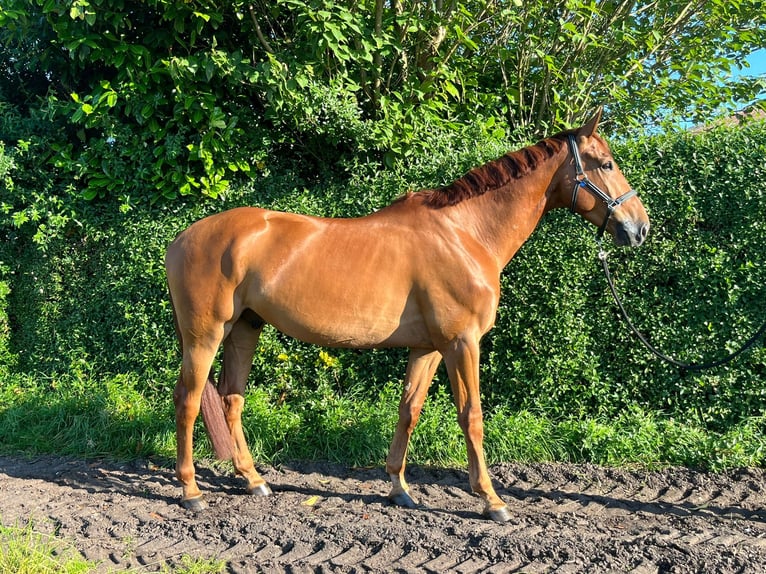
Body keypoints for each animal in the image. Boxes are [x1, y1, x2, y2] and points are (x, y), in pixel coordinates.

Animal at [165, 110, 652, 524]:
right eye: (606, 163)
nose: (639, 228)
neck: (465, 233)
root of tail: (181, 238)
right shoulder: (462, 343)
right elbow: (471, 415)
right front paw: (492, 500)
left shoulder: (428, 348)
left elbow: (409, 410)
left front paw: (399, 489)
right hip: (205, 335)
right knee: (188, 400)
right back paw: (191, 492)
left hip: (244, 329)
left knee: (231, 399)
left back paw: (254, 481)